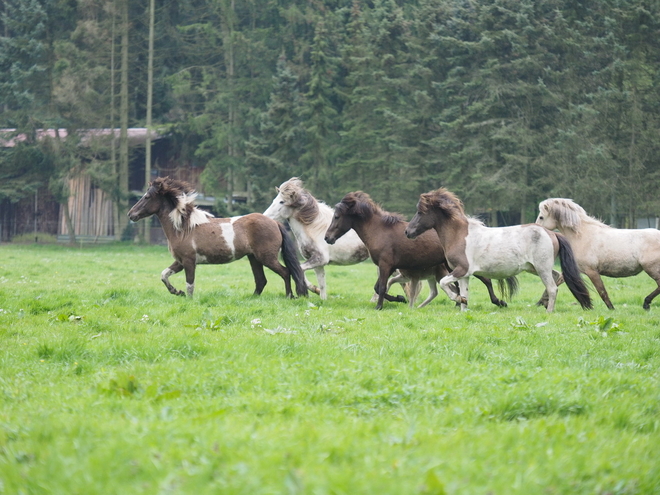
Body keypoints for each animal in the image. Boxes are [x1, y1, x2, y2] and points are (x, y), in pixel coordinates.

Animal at [127, 180, 308, 300]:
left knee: (285, 272)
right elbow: (164, 275)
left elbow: (190, 284)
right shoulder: (180, 261)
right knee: (261, 280)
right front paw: (176, 291)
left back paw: (289, 296)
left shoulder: (188, 261)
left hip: (266, 258)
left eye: (147, 197)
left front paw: (187, 298)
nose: (131, 214)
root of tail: (275, 222)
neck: (183, 228)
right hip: (254, 258)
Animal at [322, 193, 512, 310]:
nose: (327, 238)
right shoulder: (390, 267)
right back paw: (459, 304)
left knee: (485, 280)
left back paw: (498, 302)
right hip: (450, 266)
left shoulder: (385, 265)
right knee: (460, 285)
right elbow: (378, 287)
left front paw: (379, 306)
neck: (380, 231)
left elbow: (381, 287)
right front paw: (400, 298)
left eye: (337, 216)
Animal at [404, 188, 592, 312]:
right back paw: (544, 303)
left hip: (541, 268)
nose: (408, 232)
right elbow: (465, 295)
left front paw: (457, 298)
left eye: (420, 212)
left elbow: (444, 283)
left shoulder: (461, 270)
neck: (459, 234)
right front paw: (463, 305)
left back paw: (548, 311)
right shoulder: (464, 275)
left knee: (553, 288)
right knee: (557, 277)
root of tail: (552, 233)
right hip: (535, 268)